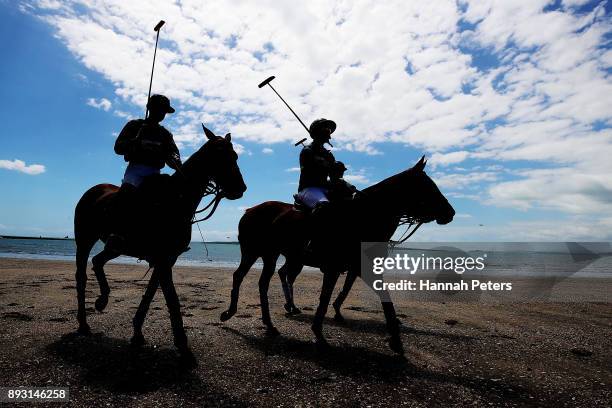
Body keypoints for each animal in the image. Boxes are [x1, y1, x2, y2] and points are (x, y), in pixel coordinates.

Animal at [75, 126, 247, 364]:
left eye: (235, 156)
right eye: (220, 155)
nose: (240, 188)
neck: (176, 200)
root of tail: (91, 191)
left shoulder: (166, 258)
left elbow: (150, 294)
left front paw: (137, 333)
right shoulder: (164, 260)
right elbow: (172, 300)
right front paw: (183, 346)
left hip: (115, 247)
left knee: (98, 260)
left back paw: (102, 300)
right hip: (84, 239)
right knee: (81, 276)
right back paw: (83, 323)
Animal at [220, 156, 454, 354]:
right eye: (428, 186)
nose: (451, 213)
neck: (361, 218)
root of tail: (248, 210)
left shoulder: (361, 268)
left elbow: (378, 299)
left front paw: (395, 340)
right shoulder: (337, 268)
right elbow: (327, 297)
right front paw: (319, 331)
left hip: (272, 255)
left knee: (265, 281)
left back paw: (271, 322)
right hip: (253, 252)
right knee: (242, 276)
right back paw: (231, 312)